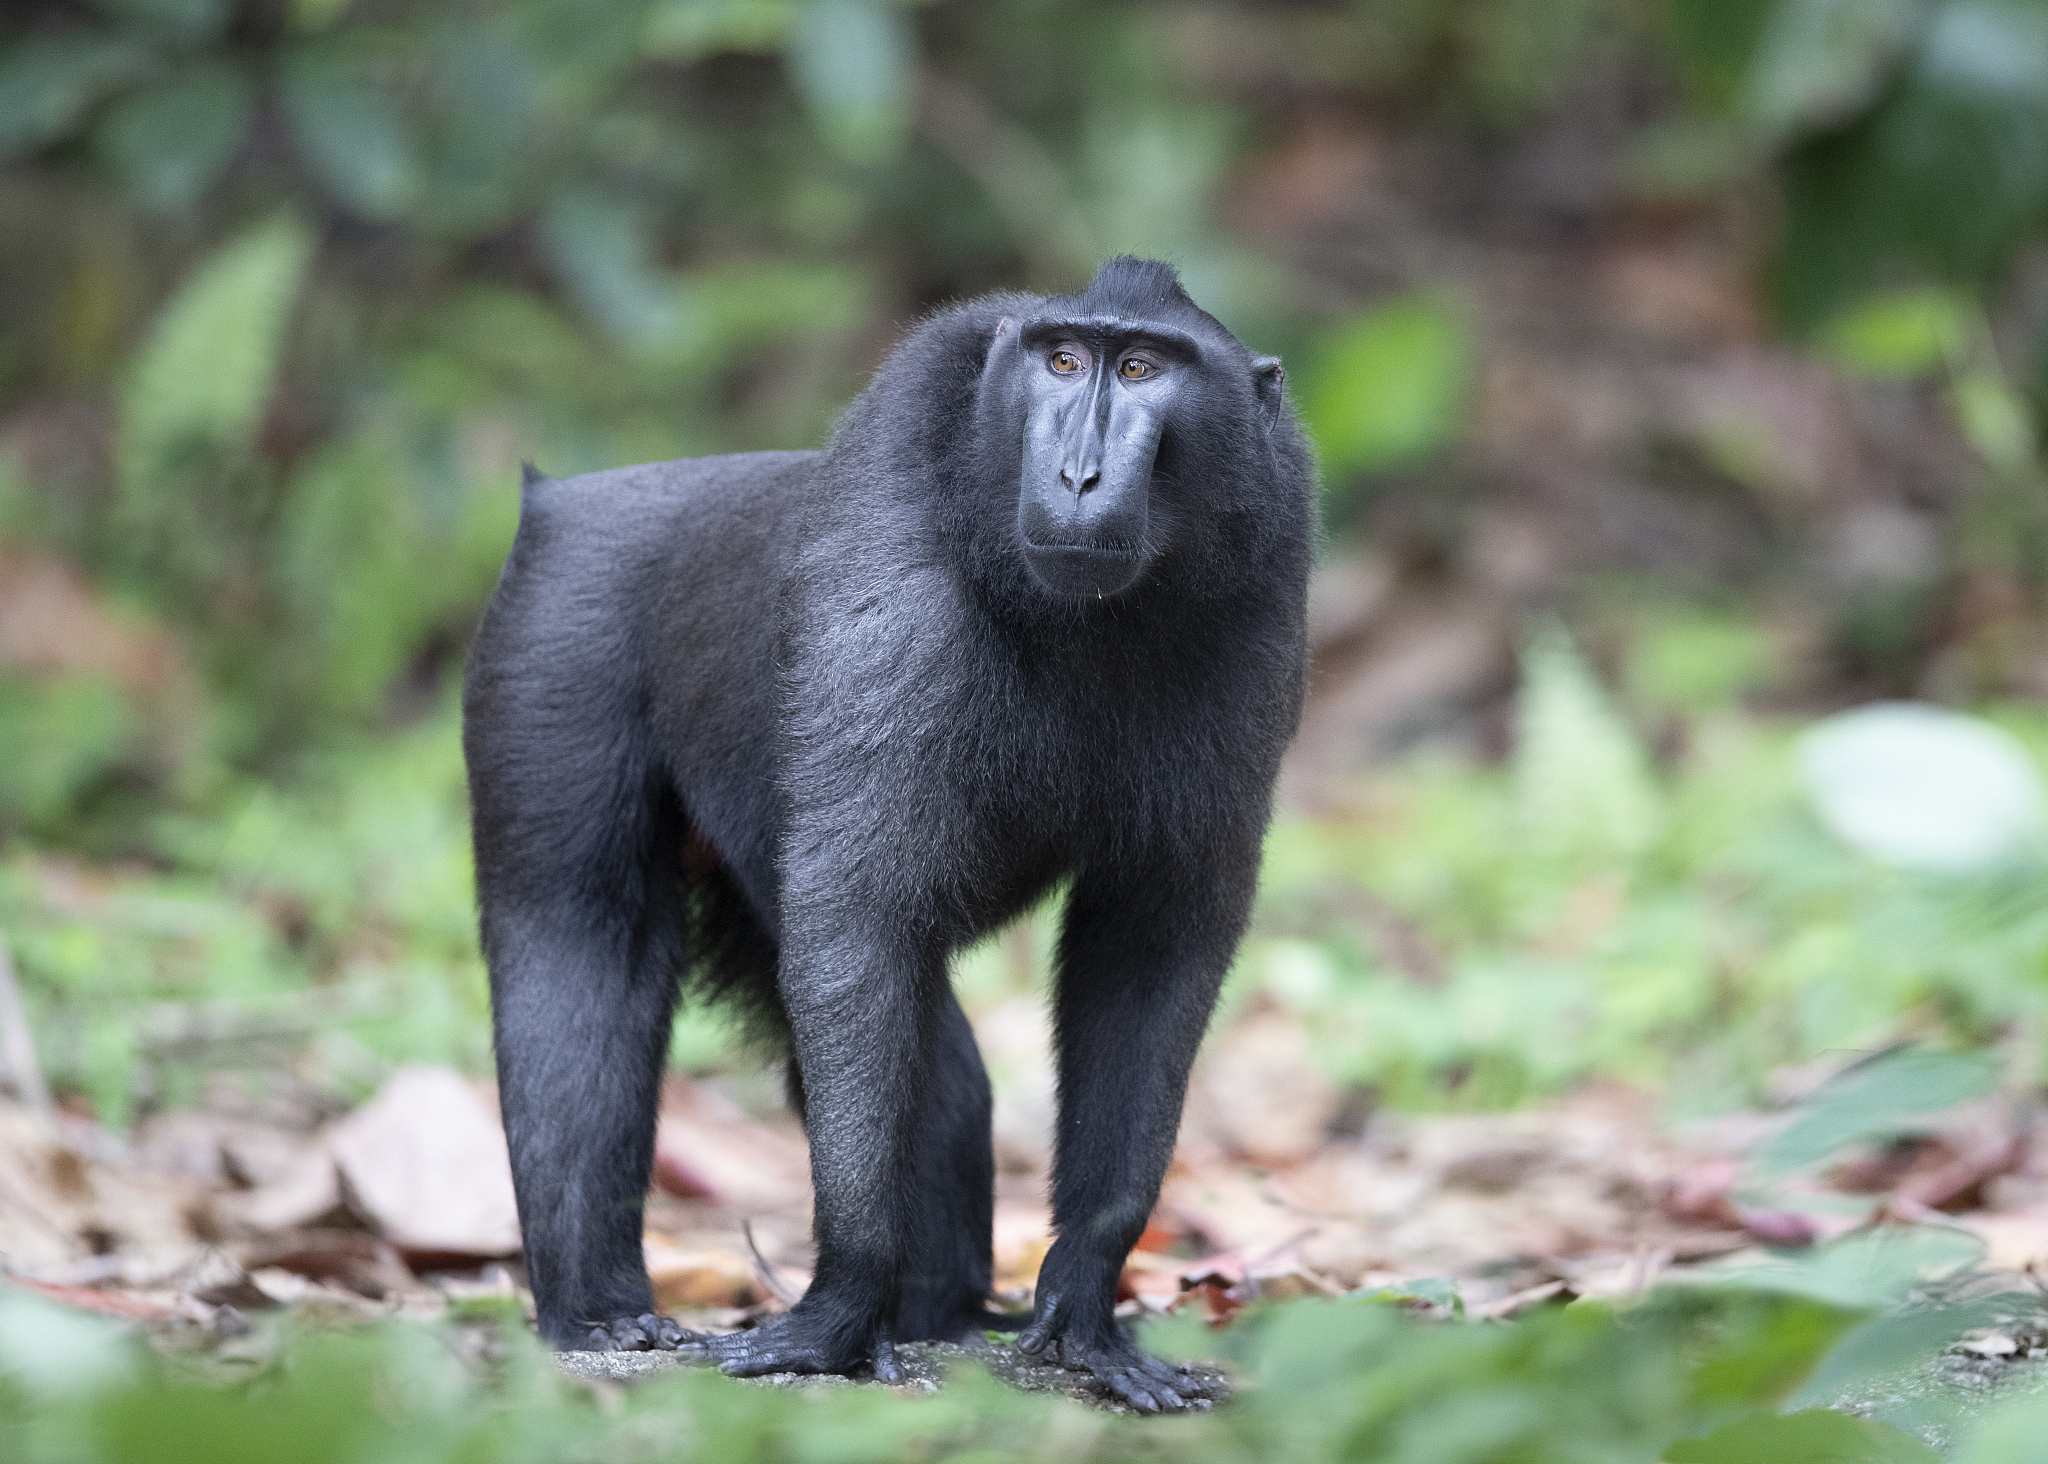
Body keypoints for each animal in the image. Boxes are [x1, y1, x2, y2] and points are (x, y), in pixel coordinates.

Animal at [462, 257, 1313, 1412]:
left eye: (1140, 368)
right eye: (1061, 360)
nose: (1079, 474)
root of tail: (565, 501)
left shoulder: (1260, 595)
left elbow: (1150, 950)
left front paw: (1083, 1310)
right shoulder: (894, 576)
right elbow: (859, 919)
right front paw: (838, 1307)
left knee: (938, 1067)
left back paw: (942, 1315)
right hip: (554, 630)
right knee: (574, 944)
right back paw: (599, 1311)